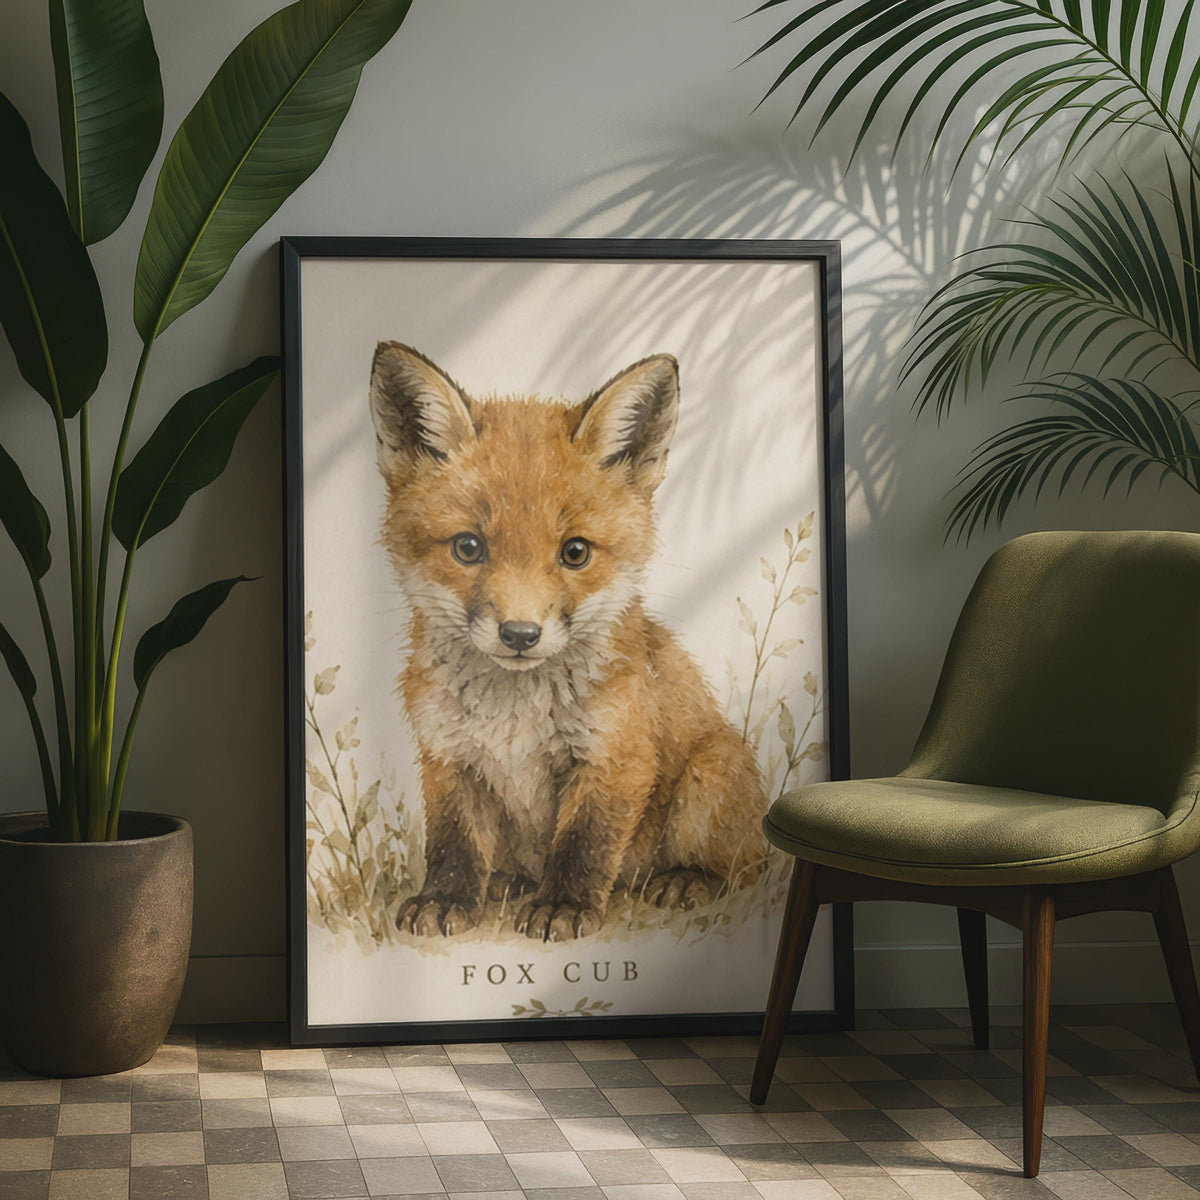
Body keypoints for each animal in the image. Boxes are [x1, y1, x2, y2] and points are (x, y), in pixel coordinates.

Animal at [368, 342, 767, 942]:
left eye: (575, 552)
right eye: (468, 547)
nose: (519, 634)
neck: (514, 714)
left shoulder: (615, 755)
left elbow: (584, 843)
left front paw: (564, 906)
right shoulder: (447, 756)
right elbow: (454, 842)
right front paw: (446, 899)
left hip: (711, 773)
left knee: (747, 864)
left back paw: (687, 878)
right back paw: (509, 881)